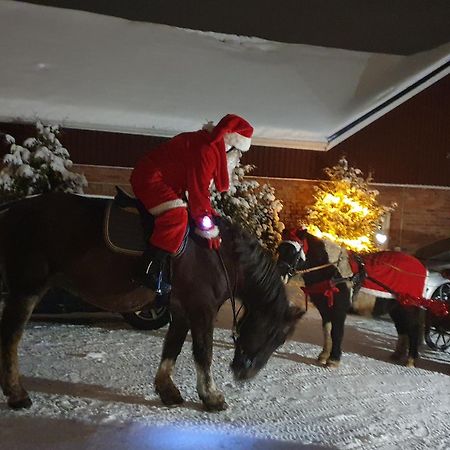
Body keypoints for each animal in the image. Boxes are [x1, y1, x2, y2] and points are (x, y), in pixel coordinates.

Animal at [0, 192, 304, 410]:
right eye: (276, 335)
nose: (244, 373)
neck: (221, 256)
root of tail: (11, 211)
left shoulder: (181, 310)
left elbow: (172, 347)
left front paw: (167, 390)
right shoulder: (202, 309)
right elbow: (203, 352)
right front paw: (212, 397)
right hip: (27, 288)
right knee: (11, 337)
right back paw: (17, 394)